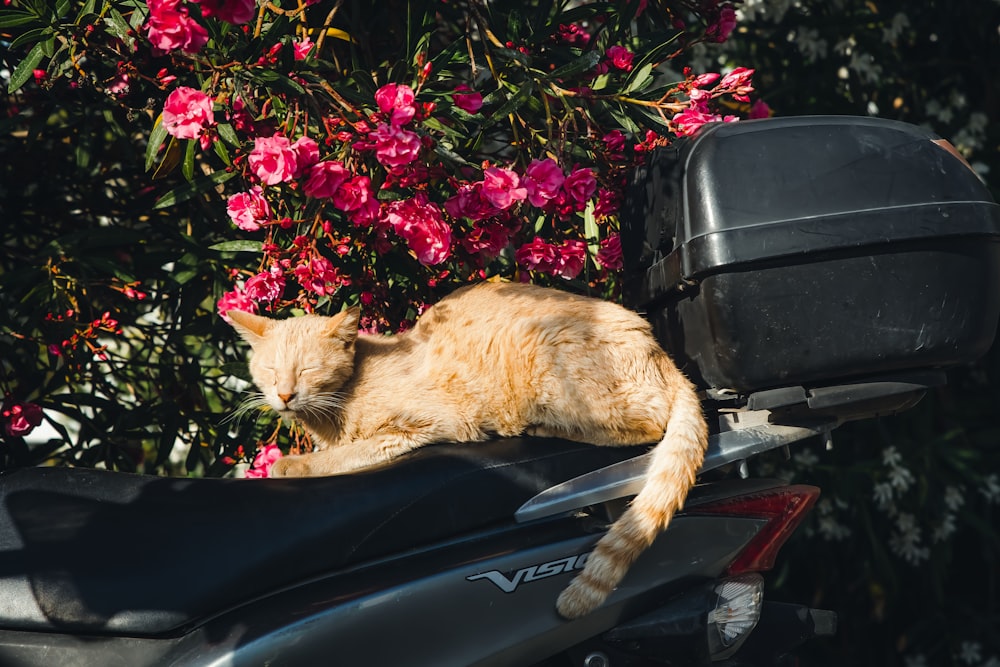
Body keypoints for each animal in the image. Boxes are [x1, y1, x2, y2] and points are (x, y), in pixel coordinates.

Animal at [227, 282, 712, 620]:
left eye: (308, 370)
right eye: (269, 370)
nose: (284, 396)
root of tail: (663, 355)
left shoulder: (423, 425)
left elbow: (345, 455)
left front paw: (294, 465)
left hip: (551, 366)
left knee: (647, 422)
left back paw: (543, 425)